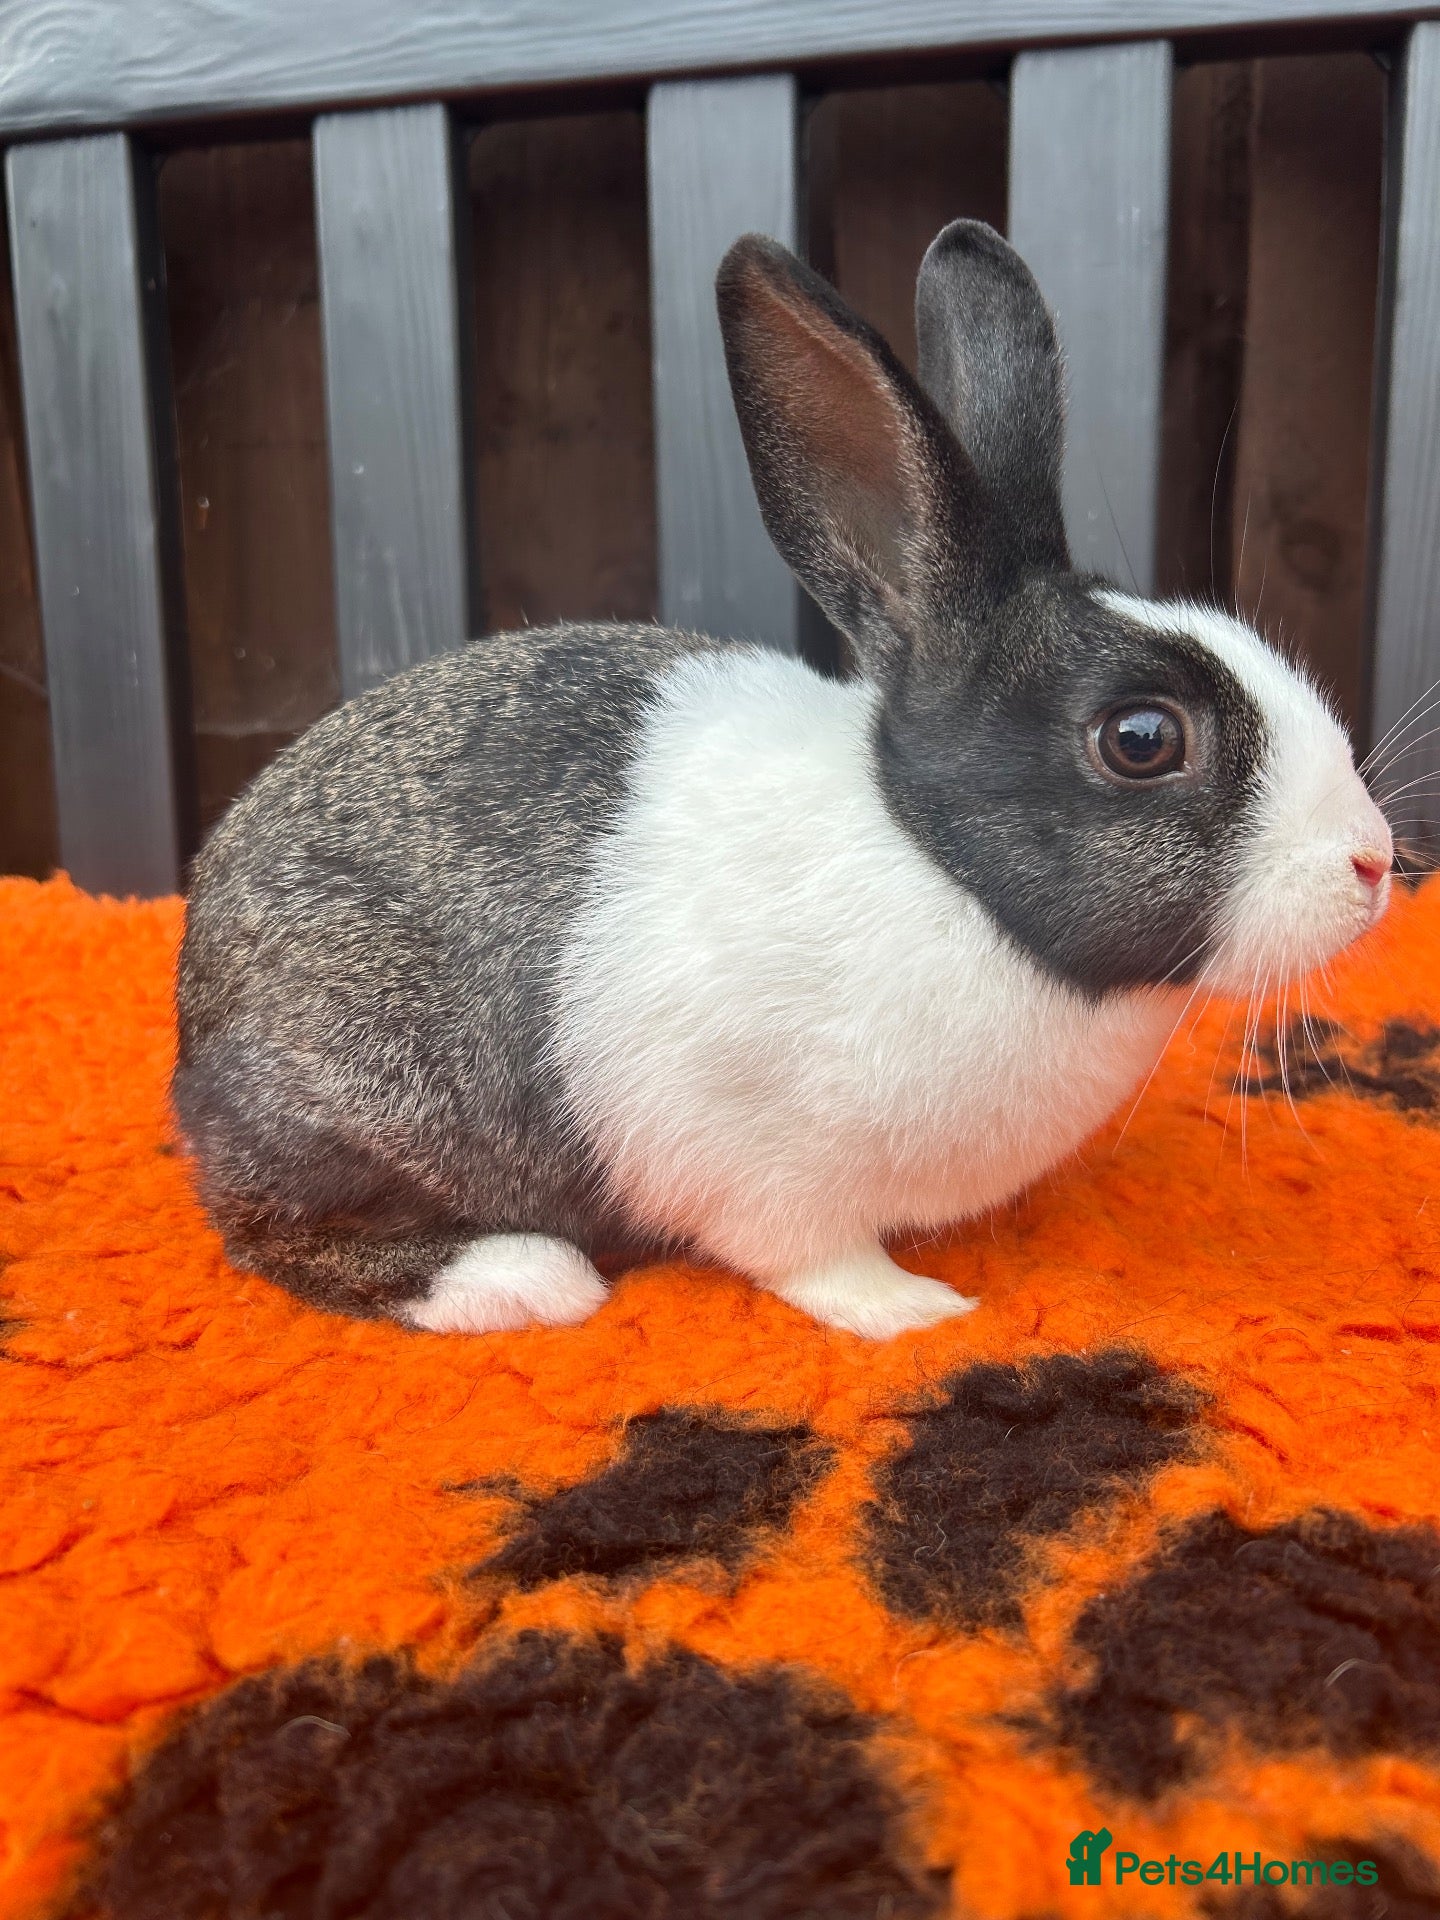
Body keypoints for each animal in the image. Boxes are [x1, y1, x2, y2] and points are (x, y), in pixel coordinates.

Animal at [173, 220, 1393, 1342]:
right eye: (1142, 738)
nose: (1374, 862)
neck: (943, 872)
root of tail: (193, 1025)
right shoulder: (761, 1167)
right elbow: (815, 1259)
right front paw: (920, 1311)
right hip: (352, 1105)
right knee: (279, 1236)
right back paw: (524, 1279)